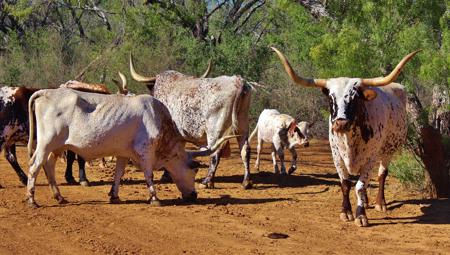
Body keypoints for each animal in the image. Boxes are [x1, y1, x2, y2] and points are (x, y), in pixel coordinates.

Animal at [25, 87, 232, 207]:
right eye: (194, 170)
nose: (194, 195)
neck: (158, 119)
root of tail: (46, 92)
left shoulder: (123, 154)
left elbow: (119, 173)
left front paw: (114, 195)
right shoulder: (145, 151)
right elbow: (149, 174)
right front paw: (154, 198)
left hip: (57, 147)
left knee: (48, 166)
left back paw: (59, 197)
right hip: (46, 143)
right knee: (34, 166)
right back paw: (32, 200)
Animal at [129, 55, 253, 189]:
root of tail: (237, 81)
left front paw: (166, 175)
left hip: (215, 129)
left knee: (215, 152)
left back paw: (207, 181)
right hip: (242, 124)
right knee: (245, 150)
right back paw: (246, 181)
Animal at [272, 46, 420, 226]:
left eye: (354, 97)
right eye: (331, 98)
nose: (340, 124)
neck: (350, 139)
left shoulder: (370, 158)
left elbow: (360, 185)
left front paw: (361, 215)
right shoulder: (337, 156)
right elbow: (346, 184)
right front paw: (346, 211)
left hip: (388, 150)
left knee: (381, 175)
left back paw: (380, 203)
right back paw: (367, 201)